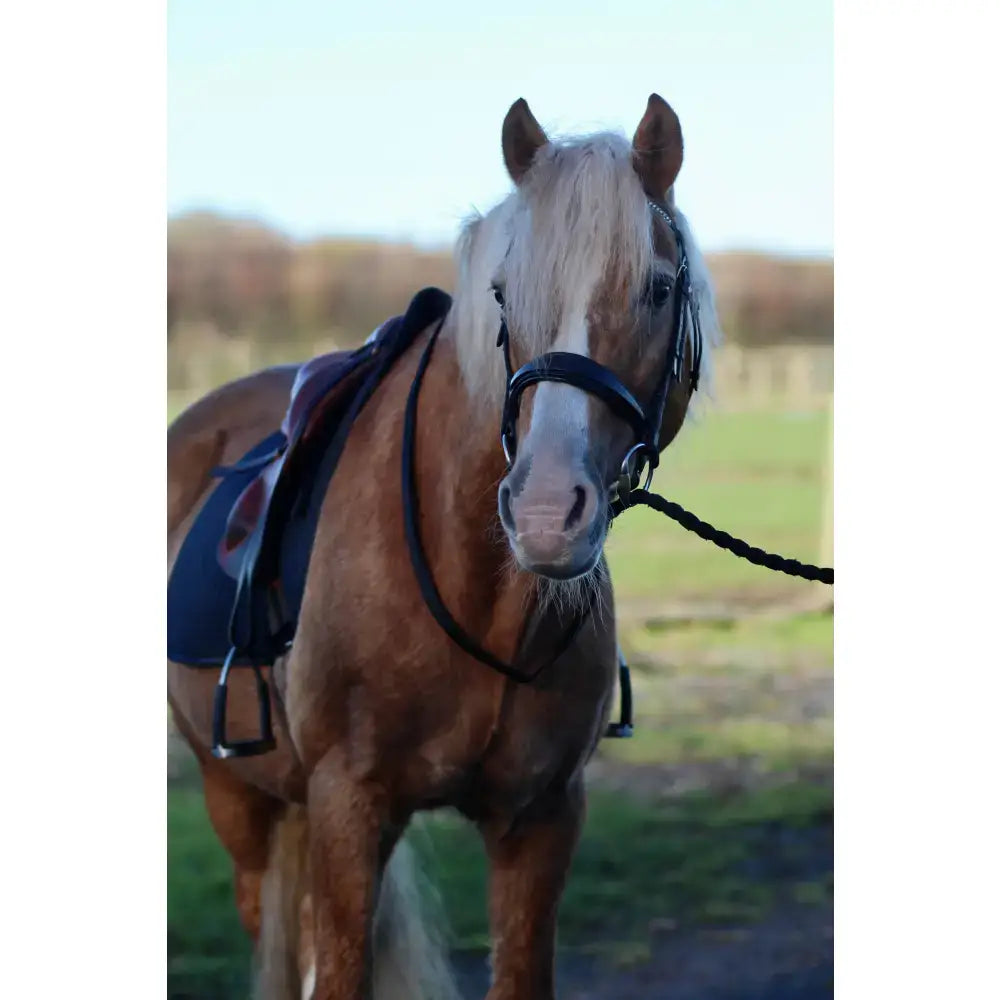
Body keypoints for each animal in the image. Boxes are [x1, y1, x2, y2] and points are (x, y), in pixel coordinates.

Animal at [167, 93, 721, 1000]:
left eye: (659, 287)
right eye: (501, 293)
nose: (544, 512)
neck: (476, 592)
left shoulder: (542, 817)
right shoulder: (348, 808)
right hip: (237, 798)